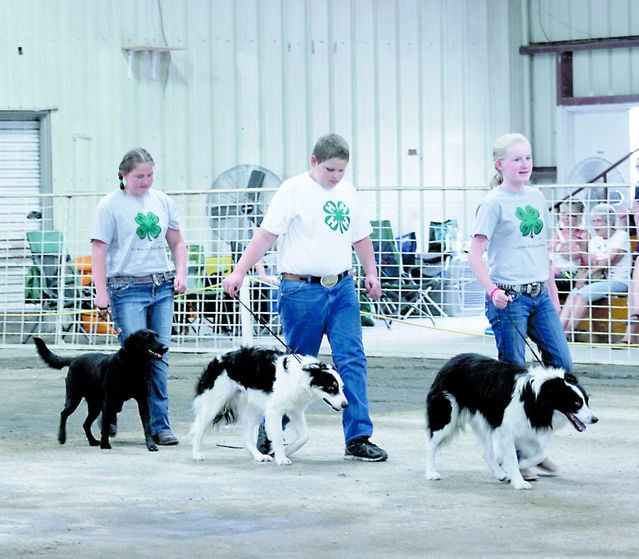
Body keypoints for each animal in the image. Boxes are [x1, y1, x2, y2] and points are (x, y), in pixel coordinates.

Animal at [34, 330, 168, 452]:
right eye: (148, 338)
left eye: (157, 336)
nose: (165, 348)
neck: (133, 367)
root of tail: (74, 359)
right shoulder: (109, 401)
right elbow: (105, 425)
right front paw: (105, 444)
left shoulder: (143, 401)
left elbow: (147, 426)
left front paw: (151, 445)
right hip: (74, 398)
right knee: (64, 414)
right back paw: (62, 437)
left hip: (95, 406)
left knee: (85, 424)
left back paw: (92, 441)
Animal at [191, 348, 350, 466]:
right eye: (331, 388)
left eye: (342, 387)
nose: (346, 405)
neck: (302, 376)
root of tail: (217, 361)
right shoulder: (275, 411)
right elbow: (278, 436)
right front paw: (281, 458)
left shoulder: (295, 411)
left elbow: (304, 436)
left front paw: (288, 450)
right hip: (214, 404)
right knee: (198, 429)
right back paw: (196, 454)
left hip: (253, 409)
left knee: (246, 437)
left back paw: (259, 456)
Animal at [424, 354, 600, 490]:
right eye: (576, 403)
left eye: (587, 401)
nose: (595, 419)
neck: (537, 397)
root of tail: (450, 362)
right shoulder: (506, 431)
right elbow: (514, 457)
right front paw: (519, 481)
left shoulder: (525, 429)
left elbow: (540, 452)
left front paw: (518, 466)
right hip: (446, 416)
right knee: (431, 444)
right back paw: (431, 472)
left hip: (485, 420)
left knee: (487, 452)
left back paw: (500, 474)